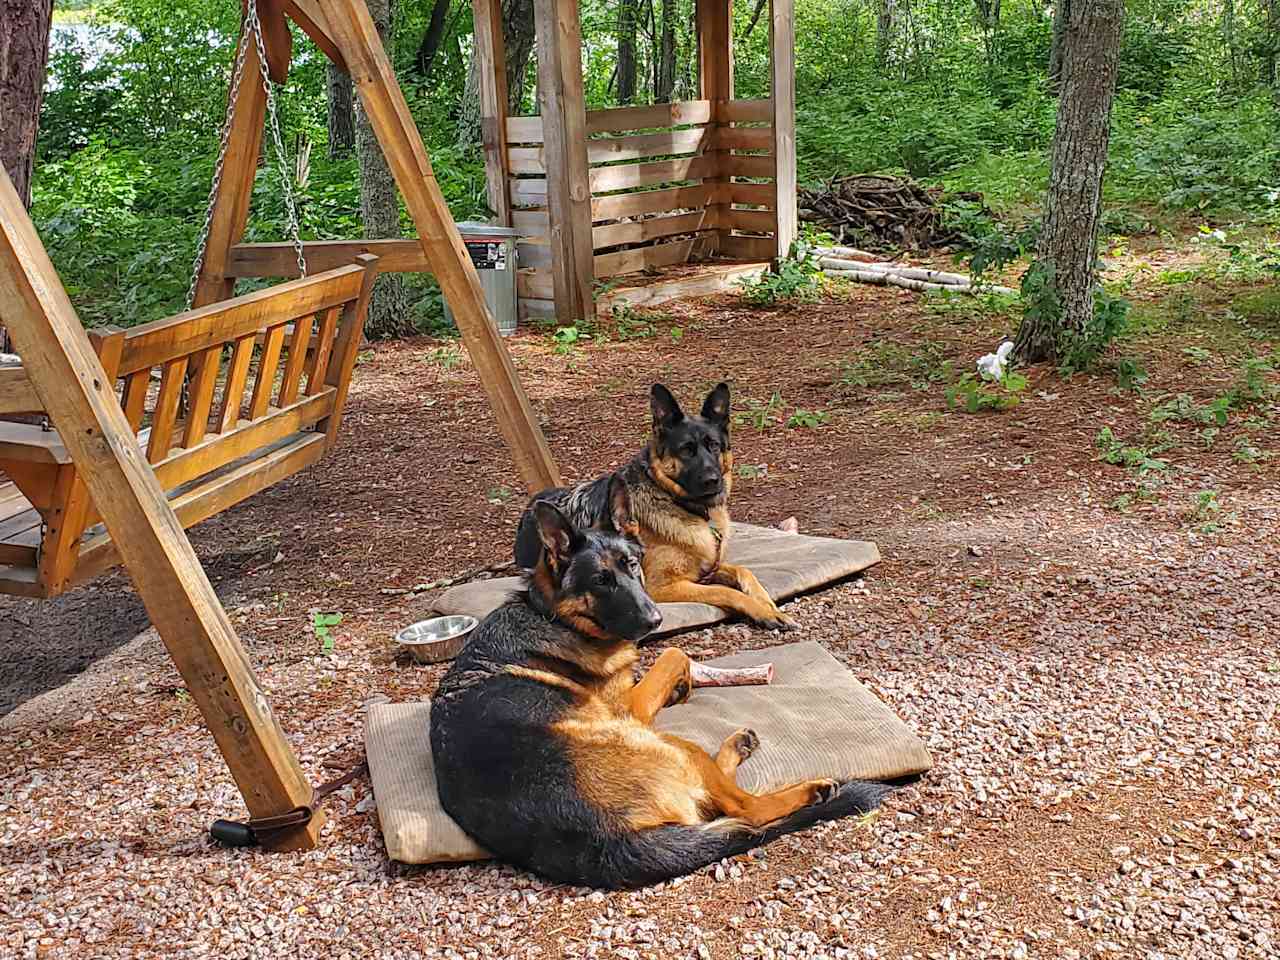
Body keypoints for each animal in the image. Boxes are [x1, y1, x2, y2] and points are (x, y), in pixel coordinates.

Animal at [427, 483, 880, 890]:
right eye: (601, 580)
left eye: (632, 565)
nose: (656, 620)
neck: (552, 614)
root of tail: (611, 841)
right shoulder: (632, 708)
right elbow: (674, 654)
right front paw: (683, 682)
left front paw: (681, 687)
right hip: (669, 744)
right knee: (743, 807)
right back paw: (806, 788)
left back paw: (738, 744)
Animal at [514, 378, 793, 634]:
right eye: (686, 450)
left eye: (714, 446)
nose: (713, 480)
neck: (679, 502)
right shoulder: (664, 586)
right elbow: (724, 592)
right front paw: (762, 611)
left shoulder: (705, 569)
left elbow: (744, 571)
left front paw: (768, 604)